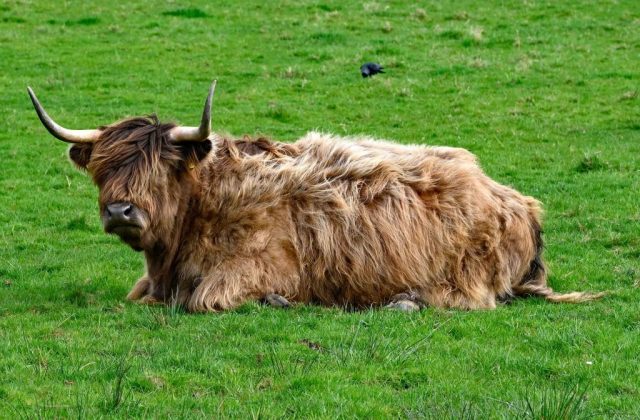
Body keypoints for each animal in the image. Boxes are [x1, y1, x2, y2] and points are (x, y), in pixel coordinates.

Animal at [28, 82, 602, 312]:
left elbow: (202, 301)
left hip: (464, 273)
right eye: (102, 170)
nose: (120, 211)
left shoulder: (246, 270)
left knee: (466, 300)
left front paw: (279, 300)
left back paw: (405, 301)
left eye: (161, 169)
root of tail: (515, 200)